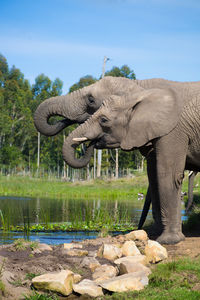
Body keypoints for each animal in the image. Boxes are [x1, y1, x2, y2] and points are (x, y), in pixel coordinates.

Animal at [61, 78, 200, 245]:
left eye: (103, 120)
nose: (91, 143)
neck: (140, 95)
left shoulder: (173, 131)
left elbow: (168, 175)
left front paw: (168, 241)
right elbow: (155, 176)